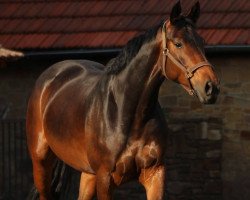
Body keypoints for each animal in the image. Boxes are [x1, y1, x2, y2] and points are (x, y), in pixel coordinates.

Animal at [26, 1, 220, 200]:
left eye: (202, 42)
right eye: (178, 43)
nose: (210, 87)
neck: (127, 112)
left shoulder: (155, 174)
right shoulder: (105, 179)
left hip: (89, 173)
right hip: (41, 163)